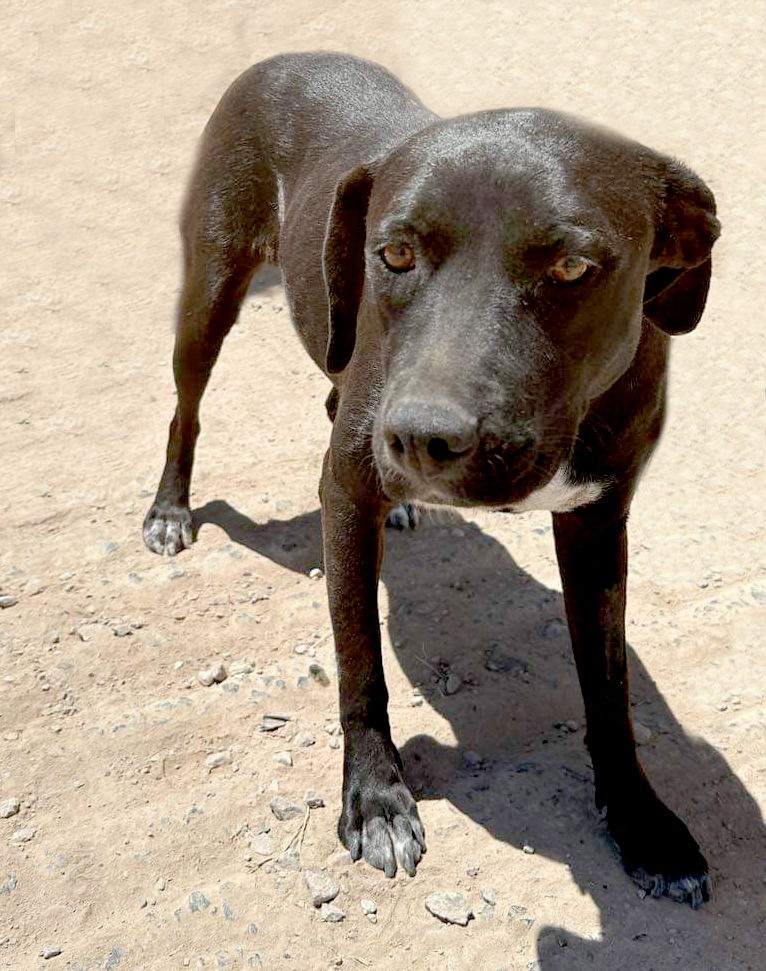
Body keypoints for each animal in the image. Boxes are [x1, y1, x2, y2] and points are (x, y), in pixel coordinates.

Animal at [142, 51, 720, 904]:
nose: (421, 437)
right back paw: (170, 509)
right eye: (396, 254)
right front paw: (377, 798)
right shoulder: (346, 490)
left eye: (572, 266)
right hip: (211, 292)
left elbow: (609, 684)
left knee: (327, 395)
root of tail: (287, 56)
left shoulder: (597, 520)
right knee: (186, 407)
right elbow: (359, 667)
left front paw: (642, 818)